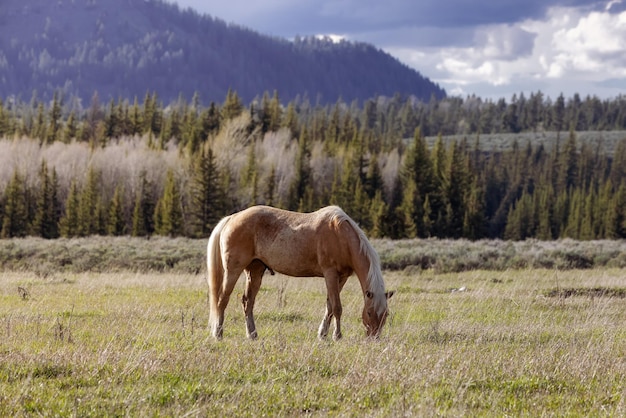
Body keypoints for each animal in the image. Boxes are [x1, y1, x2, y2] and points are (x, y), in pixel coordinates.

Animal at [206, 205, 390, 340]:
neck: (341, 235)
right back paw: (218, 333)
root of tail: (232, 218)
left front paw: (322, 335)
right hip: (233, 271)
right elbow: (337, 307)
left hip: (255, 271)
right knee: (222, 299)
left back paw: (252, 335)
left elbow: (329, 306)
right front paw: (337, 336)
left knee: (247, 302)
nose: (374, 338)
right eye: (369, 312)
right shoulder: (330, 274)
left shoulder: (342, 277)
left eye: (386, 314)